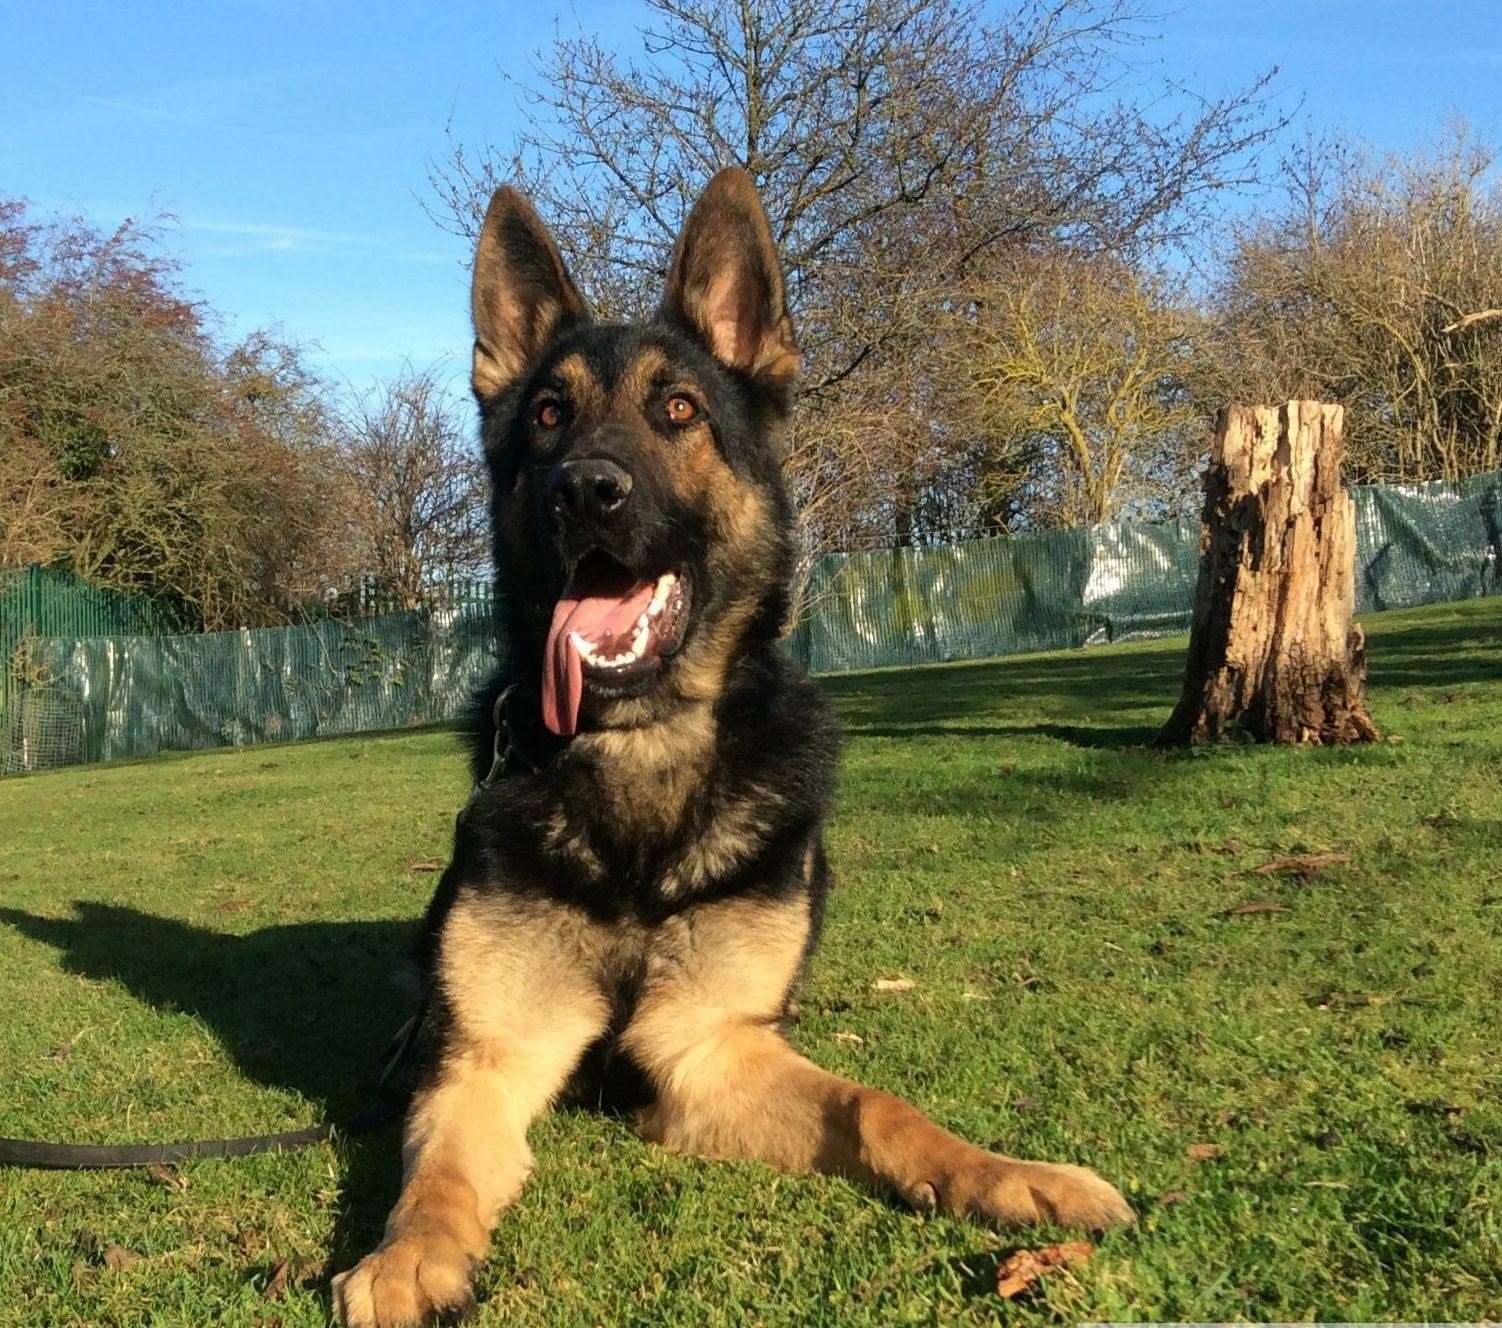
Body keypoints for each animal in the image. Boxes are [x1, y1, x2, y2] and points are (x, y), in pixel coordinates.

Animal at [328, 171, 1129, 1321]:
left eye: (678, 410)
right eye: (546, 415)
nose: (585, 489)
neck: (642, 750)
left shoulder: (708, 1048)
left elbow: (879, 1105)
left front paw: (1009, 1175)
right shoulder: (489, 1055)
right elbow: (436, 1169)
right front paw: (405, 1255)